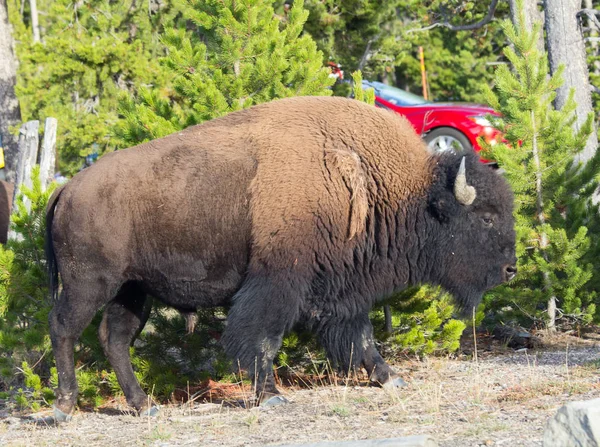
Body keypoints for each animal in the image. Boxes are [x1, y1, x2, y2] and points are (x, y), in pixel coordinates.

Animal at [47, 96, 516, 422]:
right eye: (486, 217)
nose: (510, 269)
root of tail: (66, 188)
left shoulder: (342, 289)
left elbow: (361, 337)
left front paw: (390, 377)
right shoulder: (278, 282)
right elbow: (263, 337)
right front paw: (271, 396)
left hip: (132, 291)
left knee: (114, 339)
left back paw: (144, 405)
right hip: (89, 284)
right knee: (64, 328)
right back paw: (64, 407)